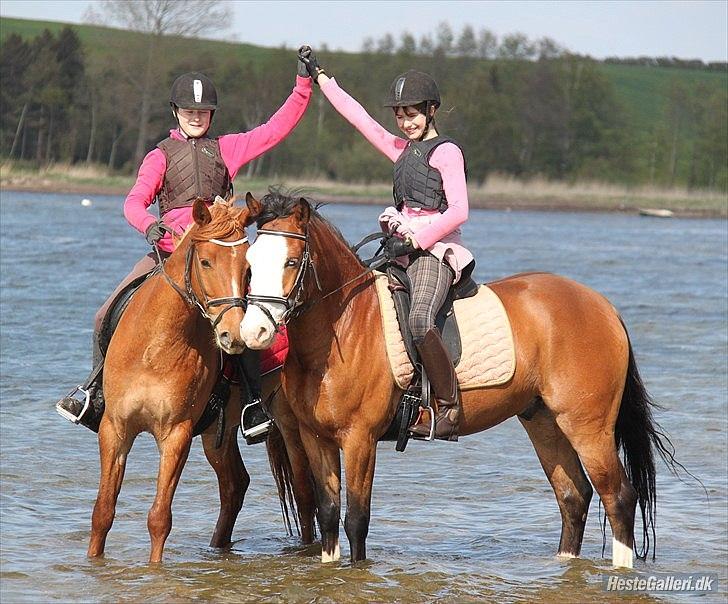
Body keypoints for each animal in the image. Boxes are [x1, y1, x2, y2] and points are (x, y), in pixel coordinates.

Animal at [86, 197, 314, 560]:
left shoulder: (176, 434)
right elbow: (103, 511)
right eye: (205, 262)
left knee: (304, 492)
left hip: (288, 424)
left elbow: (159, 518)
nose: (234, 334)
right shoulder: (115, 429)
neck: (155, 347)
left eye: (247, 270)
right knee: (235, 484)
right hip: (216, 434)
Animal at [237, 191, 676, 568]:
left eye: (292, 261)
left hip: (587, 426)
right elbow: (328, 517)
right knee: (573, 497)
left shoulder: (359, 439)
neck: (342, 325)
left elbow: (356, 521)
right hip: (544, 422)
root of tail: (603, 306)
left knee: (618, 497)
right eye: (251, 260)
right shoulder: (316, 438)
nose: (254, 331)